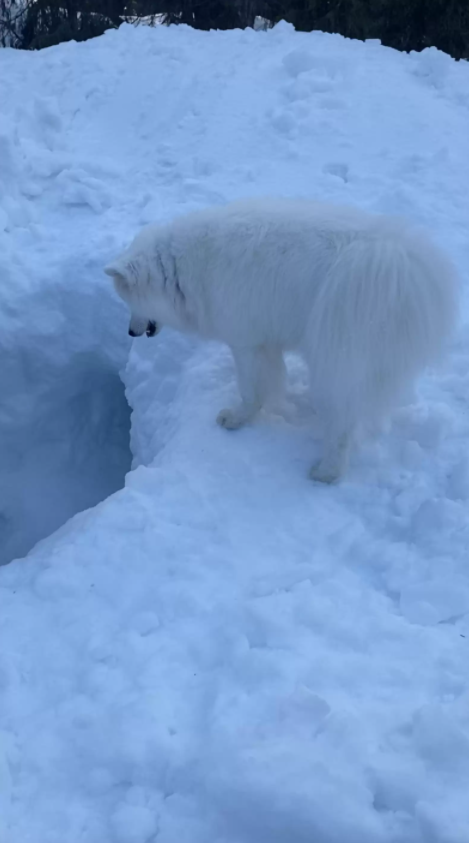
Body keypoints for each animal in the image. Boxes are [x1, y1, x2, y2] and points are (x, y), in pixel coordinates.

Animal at [103, 197, 458, 482]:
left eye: (130, 301)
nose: (130, 332)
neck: (180, 270)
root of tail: (395, 263)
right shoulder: (266, 341)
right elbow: (271, 380)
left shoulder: (244, 342)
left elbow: (249, 390)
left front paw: (237, 418)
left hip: (336, 355)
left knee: (342, 422)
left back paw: (327, 472)